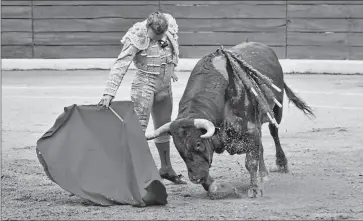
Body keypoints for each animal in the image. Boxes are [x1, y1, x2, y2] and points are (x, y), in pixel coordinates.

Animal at [145, 41, 316, 199]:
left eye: (198, 144)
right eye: (178, 148)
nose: (195, 178)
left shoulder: (250, 130)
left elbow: (250, 162)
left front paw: (254, 189)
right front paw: (214, 187)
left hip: (276, 109)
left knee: (274, 133)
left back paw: (279, 165)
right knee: (261, 145)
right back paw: (263, 174)